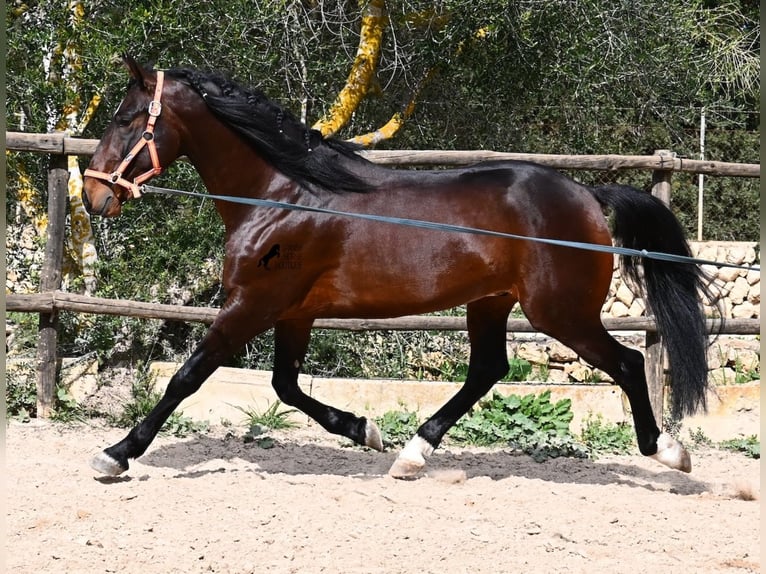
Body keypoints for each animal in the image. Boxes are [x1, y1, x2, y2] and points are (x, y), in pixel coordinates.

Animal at [81, 57, 712, 482]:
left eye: (128, 117)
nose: (93, 194)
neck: (282, 195)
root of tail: (586, 192)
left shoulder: (252, 303)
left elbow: (188, 377)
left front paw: (115, 454)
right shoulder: (293, 312)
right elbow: (286, 385)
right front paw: (366, 430)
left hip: (560, 312)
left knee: (626, 363)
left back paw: (669, 452)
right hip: (492, 302)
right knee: (488, 369)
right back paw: (412, 453)